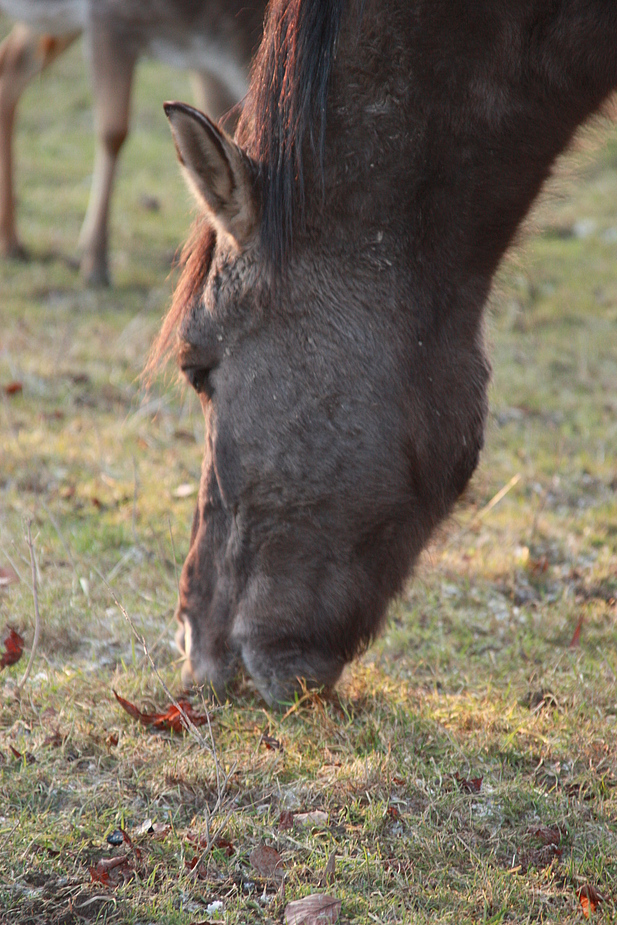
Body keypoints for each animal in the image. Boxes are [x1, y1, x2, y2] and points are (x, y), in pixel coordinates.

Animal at [0, 0, 262, 284]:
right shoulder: (107, 18)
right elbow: (114, 133)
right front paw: (95, 261)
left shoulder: (206, 66)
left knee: (11, 64)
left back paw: (11, 241)